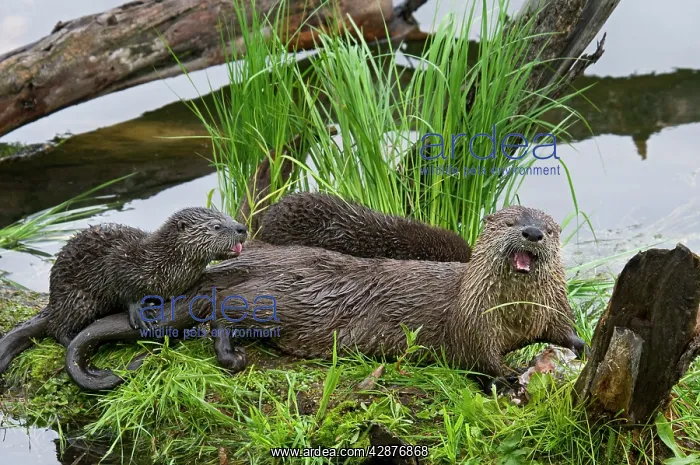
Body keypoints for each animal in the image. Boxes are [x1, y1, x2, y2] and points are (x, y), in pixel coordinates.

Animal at [0, 208, 247, 376]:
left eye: (230, 217)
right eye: (217, 226)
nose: (242, 228)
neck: (167, 265)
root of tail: (53, 300)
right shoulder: (122, 263)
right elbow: (124, 288)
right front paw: (139, 312)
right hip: (78, 299)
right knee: (58, 328)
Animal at [65, 205, 586, 391]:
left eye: (548, 225)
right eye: (511, 222)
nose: (533, 233)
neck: (514, 315)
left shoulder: (552, 308)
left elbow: (562, 329)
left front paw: (579, 346)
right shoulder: (473, 324)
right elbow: (481, 359)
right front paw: (512, 376)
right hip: (274, 302)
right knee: (221, 321)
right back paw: (232, 357)